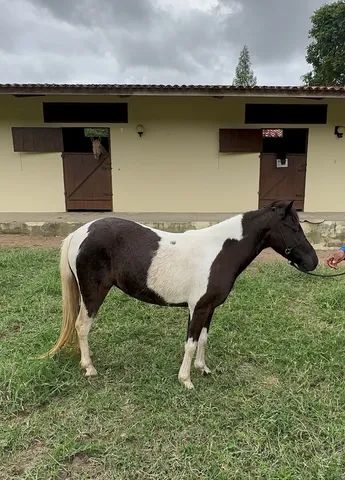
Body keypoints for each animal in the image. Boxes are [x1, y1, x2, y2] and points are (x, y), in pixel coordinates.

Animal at [43, 201, 318, 388]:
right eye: (293, 227)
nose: (313, 261)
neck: (220, 250)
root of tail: (79, 233)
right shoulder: (198, 308)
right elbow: (191, 343)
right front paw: (186, 379)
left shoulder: (208, 308)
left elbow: (203, 340)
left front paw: (203, 368)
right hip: (93, 293)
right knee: (82, 326)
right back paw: (89, 367)